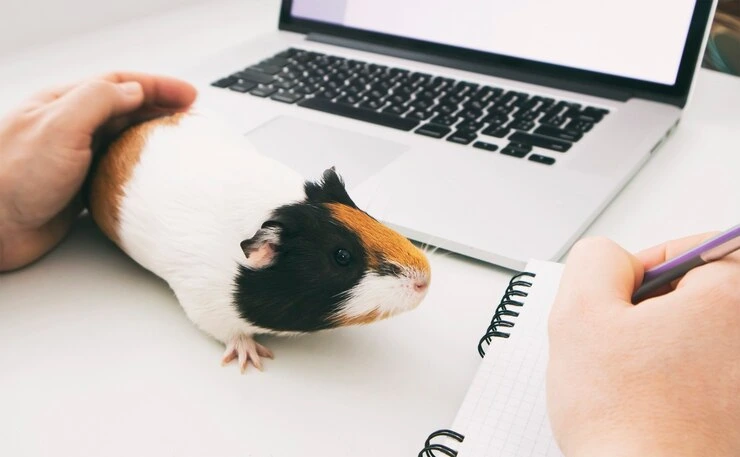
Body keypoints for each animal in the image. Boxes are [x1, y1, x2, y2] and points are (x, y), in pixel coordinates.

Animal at [88, 111, 431, 372]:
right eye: (341, 256)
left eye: (368, 216)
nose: (425, 280)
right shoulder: (205, 304)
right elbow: (231, 333)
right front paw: (252, 359)